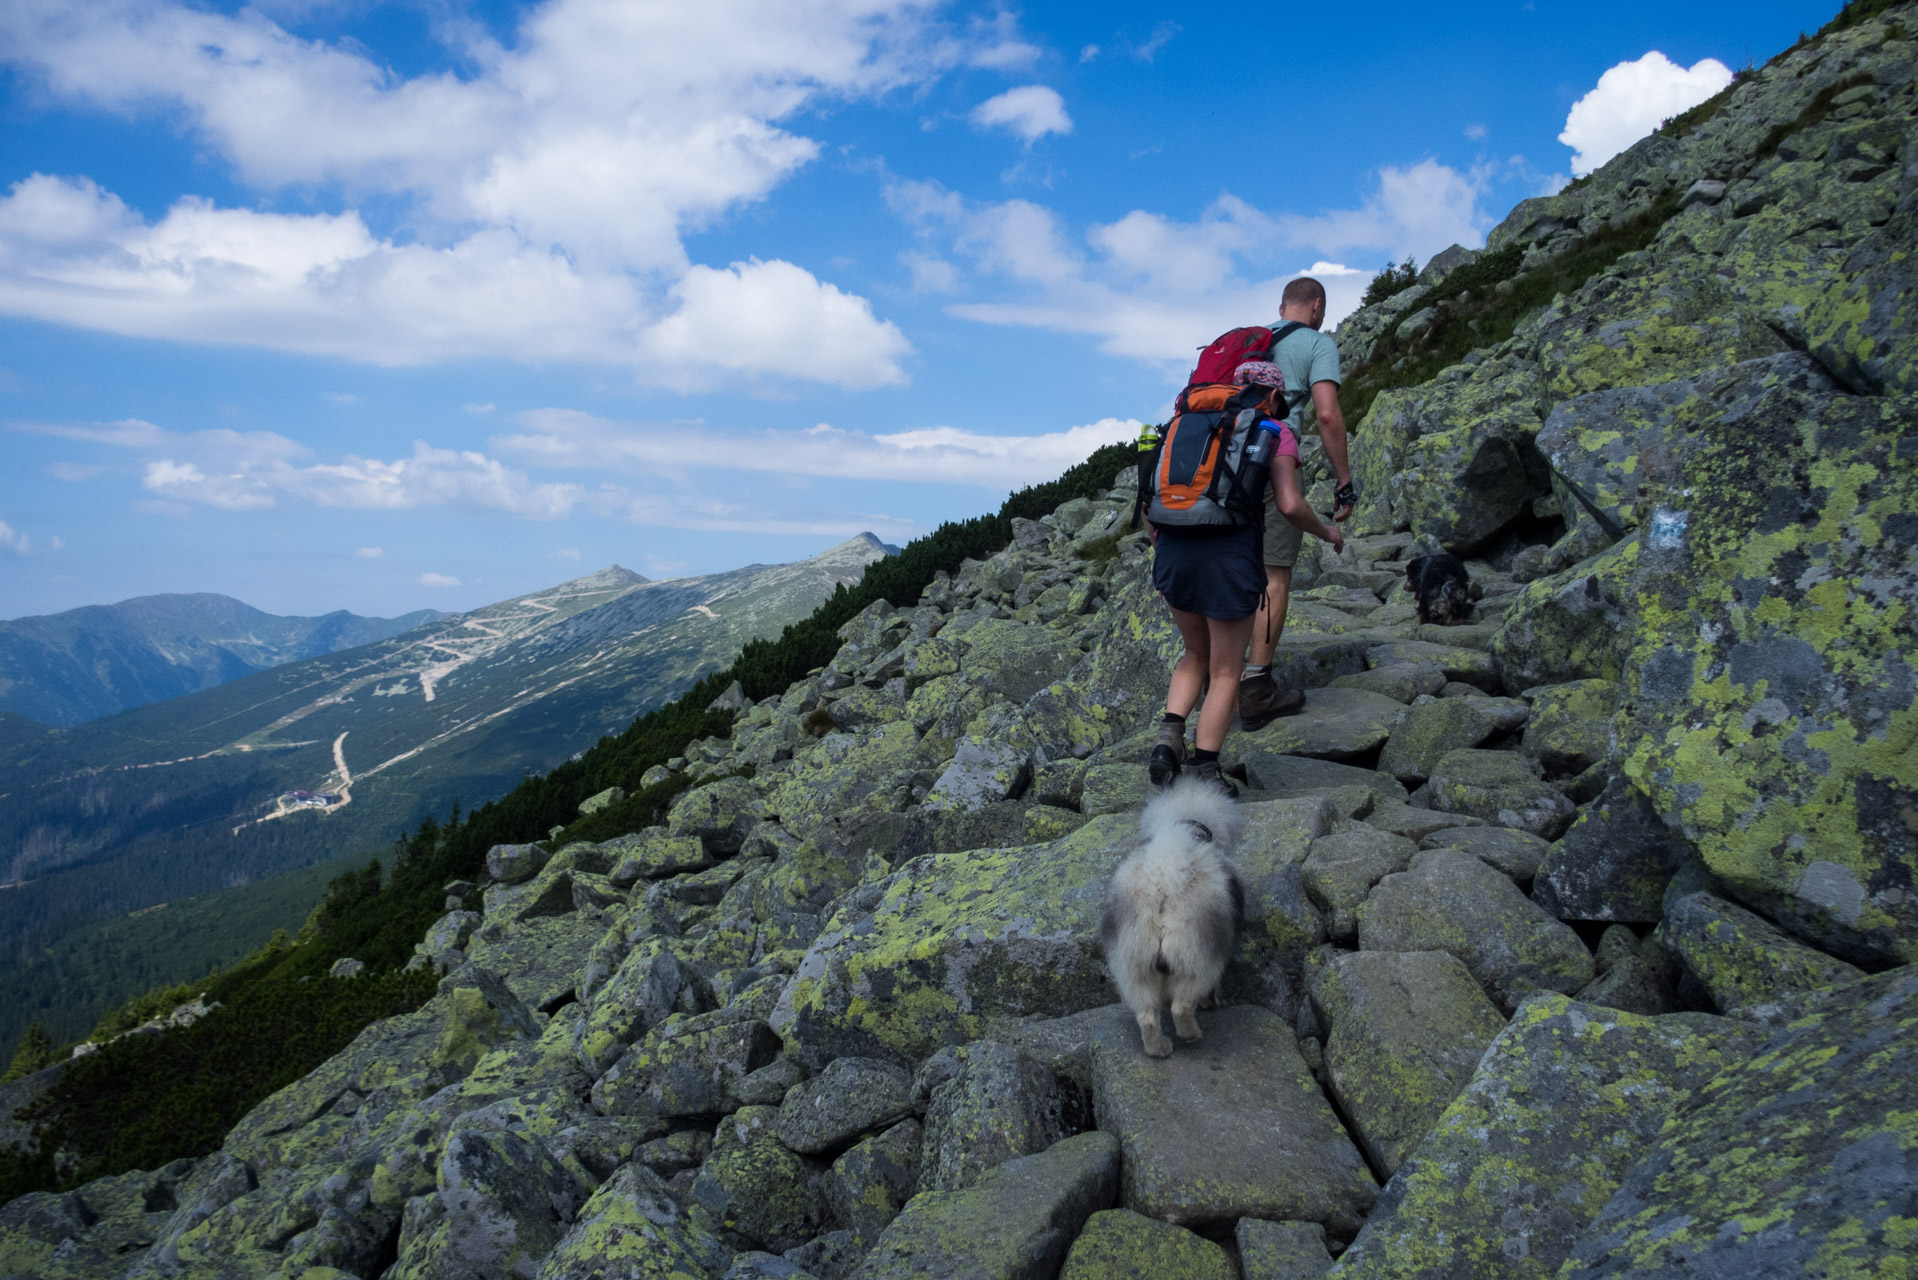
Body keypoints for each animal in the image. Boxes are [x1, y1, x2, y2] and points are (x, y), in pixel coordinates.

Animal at [1104, 775, 1250, 1059]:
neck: (1184, 823)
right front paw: (1212, 1003)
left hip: (1134, 968)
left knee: (1148, 1018)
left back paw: (1160, 1049)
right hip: (1195, 961)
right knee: (1181, 1008)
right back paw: (1192, 1035)